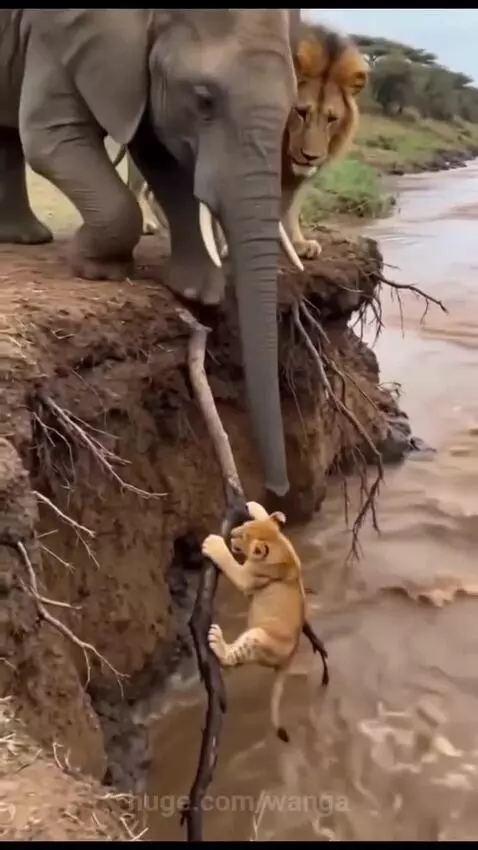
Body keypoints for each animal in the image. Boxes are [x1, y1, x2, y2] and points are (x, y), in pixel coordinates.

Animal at [0, 9, 304, 502]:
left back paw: (26, 239)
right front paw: (98, 268)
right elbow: (52, 139)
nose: (277, 493)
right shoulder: (60, 33)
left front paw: (195, 292)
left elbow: (162, 156)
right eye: (204, 100)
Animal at [201, 500, 306, 743]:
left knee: (232, 660)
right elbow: (268, 518)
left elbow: (229, 562)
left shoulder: (246, 578)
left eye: (242, 536)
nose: (231, 534)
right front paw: (257, 507)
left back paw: (217, 640)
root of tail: (289, 660)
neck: (280, 549)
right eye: (244, 526)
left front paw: (214, 544)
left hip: (258, 636)